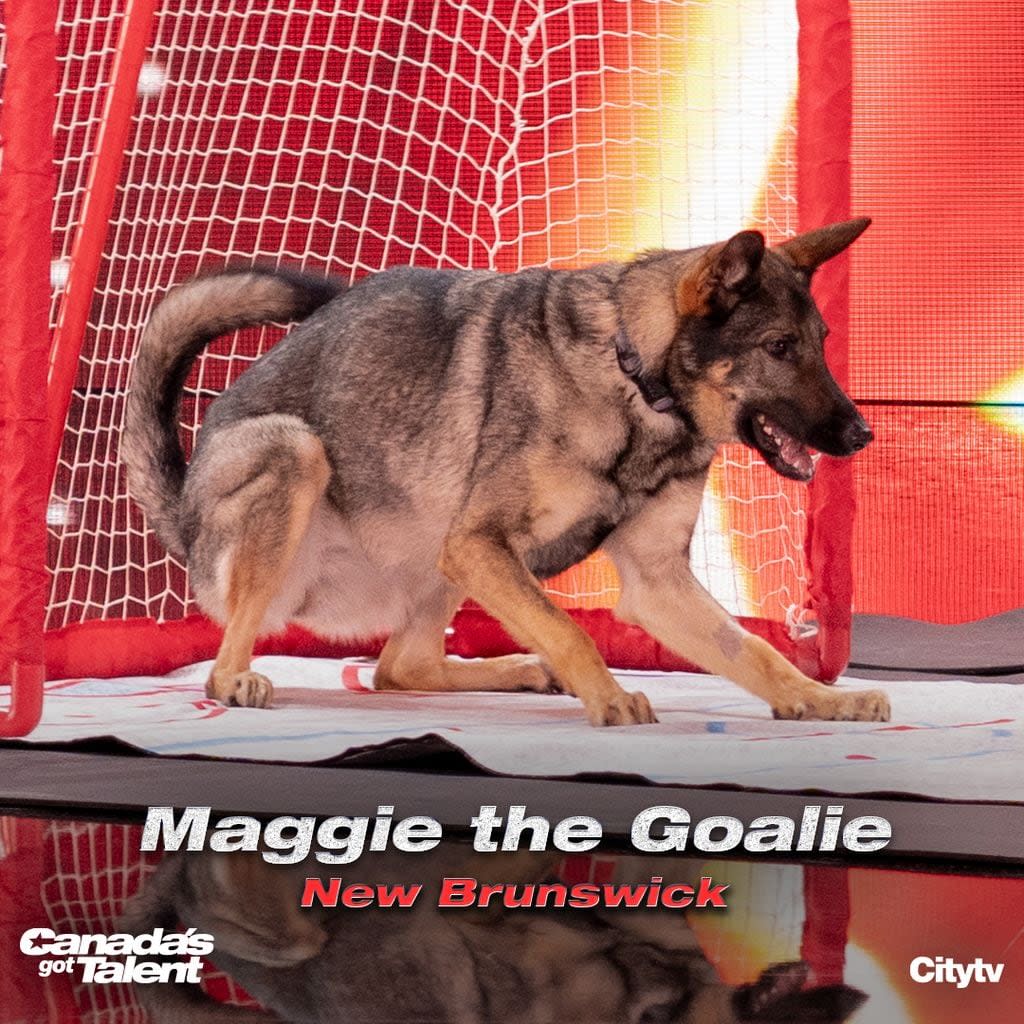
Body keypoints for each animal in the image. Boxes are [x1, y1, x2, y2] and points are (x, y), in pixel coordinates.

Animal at [121, 219, 888, 724]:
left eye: (820, 341)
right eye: (779, 347)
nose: (861, 434)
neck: (634, 378)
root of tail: (184, 519)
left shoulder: (653, 582)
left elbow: (756, 652)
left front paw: (820, 699)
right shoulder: (481, 543)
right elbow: (573, 631)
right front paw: (610, 697)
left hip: (436, 551)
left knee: (398, 667)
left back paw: (517, 669)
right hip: (300, 456)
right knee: (230, 663)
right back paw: (238, 682)